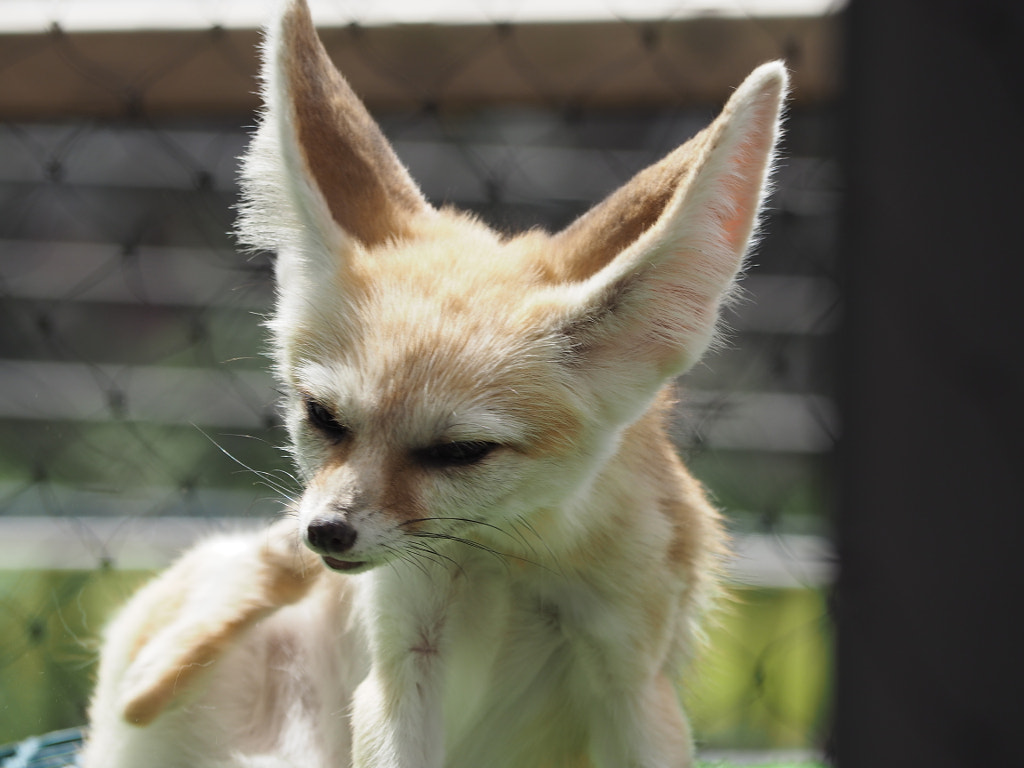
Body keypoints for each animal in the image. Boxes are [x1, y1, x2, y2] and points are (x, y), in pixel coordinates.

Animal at [81, 3, 782, 765]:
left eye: (459, 452)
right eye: (323, 417)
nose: (324, 533)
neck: (512, 555)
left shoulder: (632, 677)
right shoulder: (404, 657)